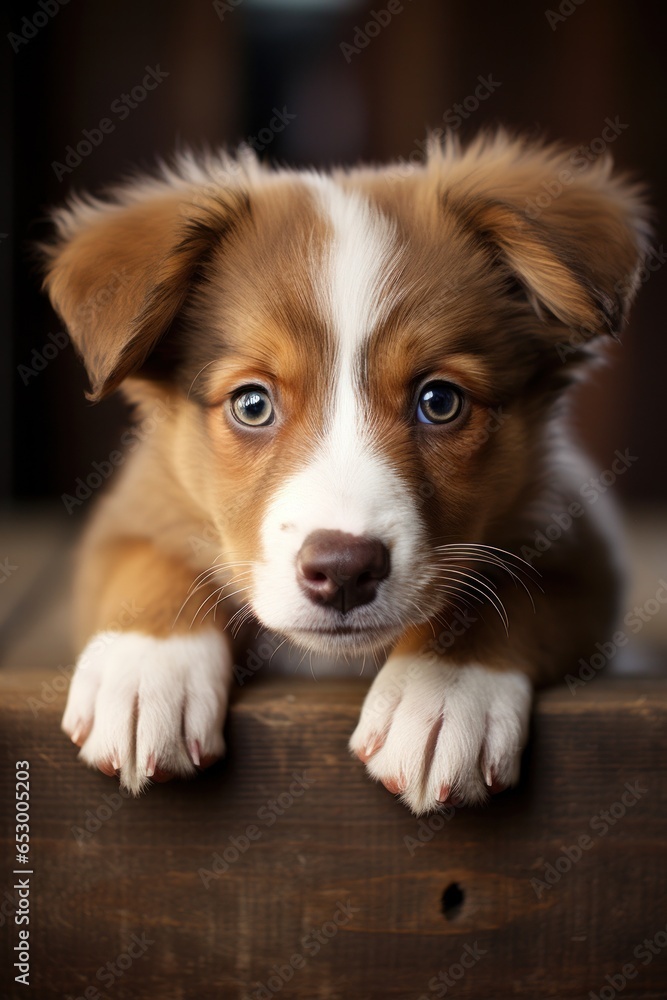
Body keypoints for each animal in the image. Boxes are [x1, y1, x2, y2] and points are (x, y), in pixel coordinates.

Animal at [41, 131, 648, 812]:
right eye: (252, 404)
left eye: (440, 401)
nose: (344, 570)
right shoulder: (136, 506)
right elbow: (148, 561)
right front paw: (145, 671)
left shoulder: (583, 547)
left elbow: (508, 590)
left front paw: (441, 696)